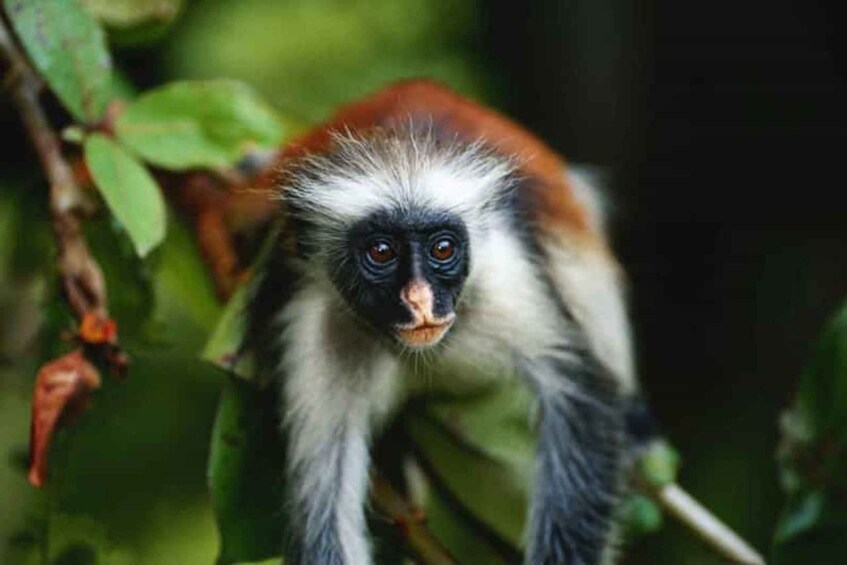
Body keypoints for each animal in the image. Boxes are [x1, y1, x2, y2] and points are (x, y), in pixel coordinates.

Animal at [245, 80, 648, 565]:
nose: (420, 301)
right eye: (381, 252)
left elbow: (582, 396)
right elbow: (323, 498)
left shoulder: (505, 280)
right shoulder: (317, 322)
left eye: (442, 248)